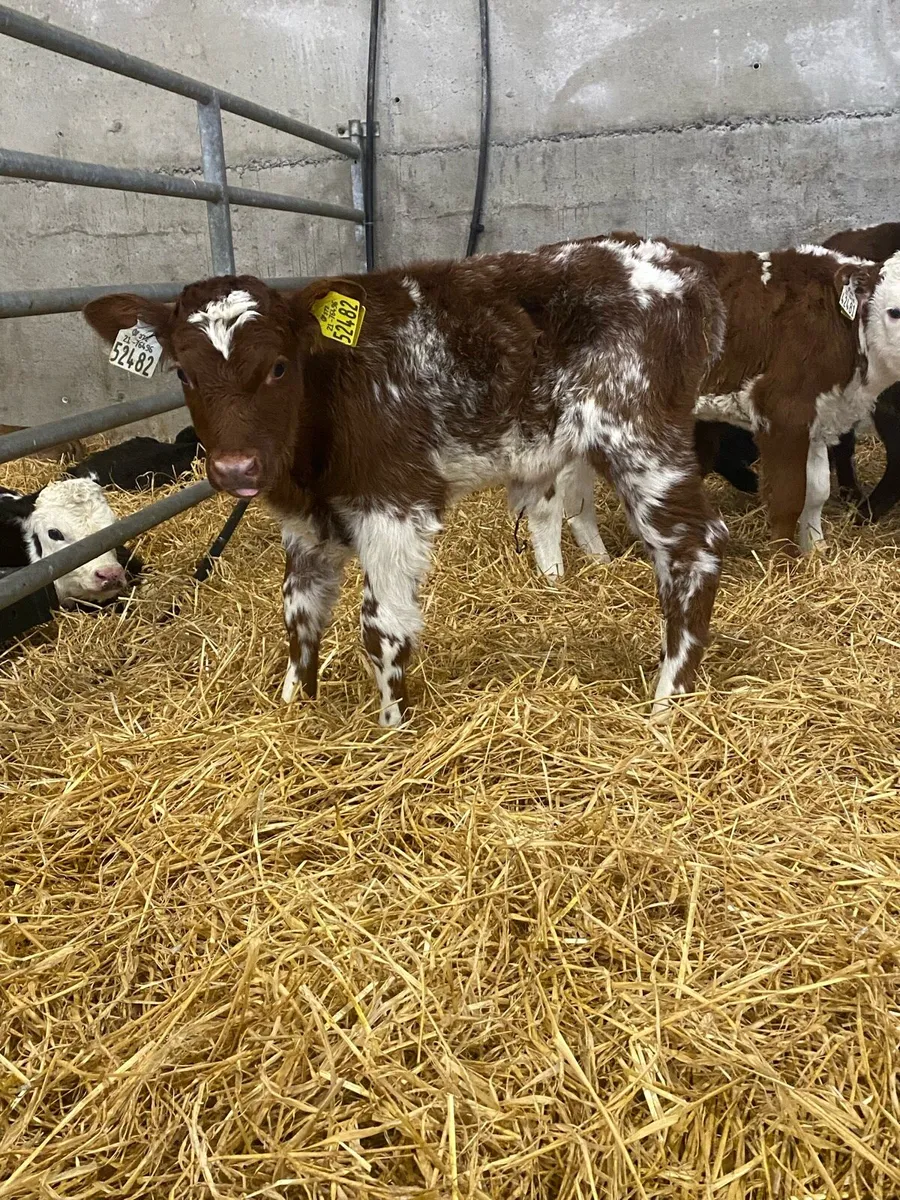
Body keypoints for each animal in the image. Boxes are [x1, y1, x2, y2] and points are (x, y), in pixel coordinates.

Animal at [84, 239, 729, 725]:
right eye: (183, 373)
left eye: (278, 367)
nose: (235, 469)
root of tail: (675, 264)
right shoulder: (308, 522)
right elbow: (299, 612)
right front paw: (294, 707)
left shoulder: (394, 502)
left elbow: (381, 625)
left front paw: (391, 728)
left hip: (640, 435)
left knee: (694, 547)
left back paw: (669, 701)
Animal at [519, 234, 900, 576]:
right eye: (894, 311)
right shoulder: (781, 411)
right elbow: (788, 497)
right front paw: (783, 566)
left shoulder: (820, 416)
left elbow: (817, 492)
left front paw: (817, 551)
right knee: (544, 500)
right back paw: (554, 576)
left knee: (575, 489)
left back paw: (599, 560)